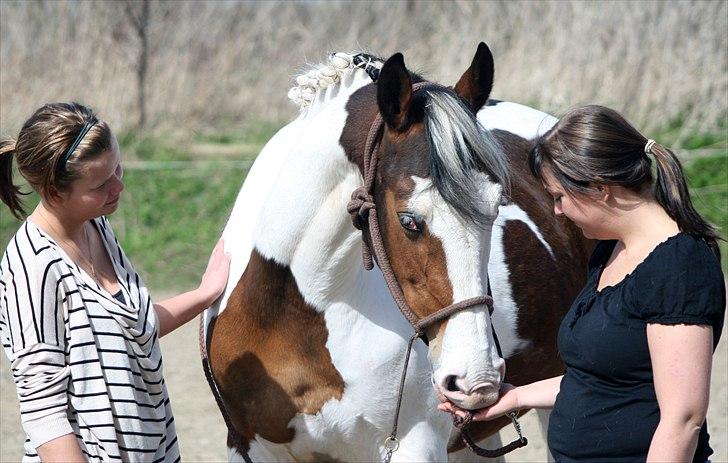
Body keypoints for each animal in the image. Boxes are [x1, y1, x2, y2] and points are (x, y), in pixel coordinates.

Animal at [202, 42, 588, 460]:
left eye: (496, 206)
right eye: (409, 221)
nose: (476, 379)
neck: (296, 313)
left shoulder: (413, 444)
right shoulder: (250, 446)